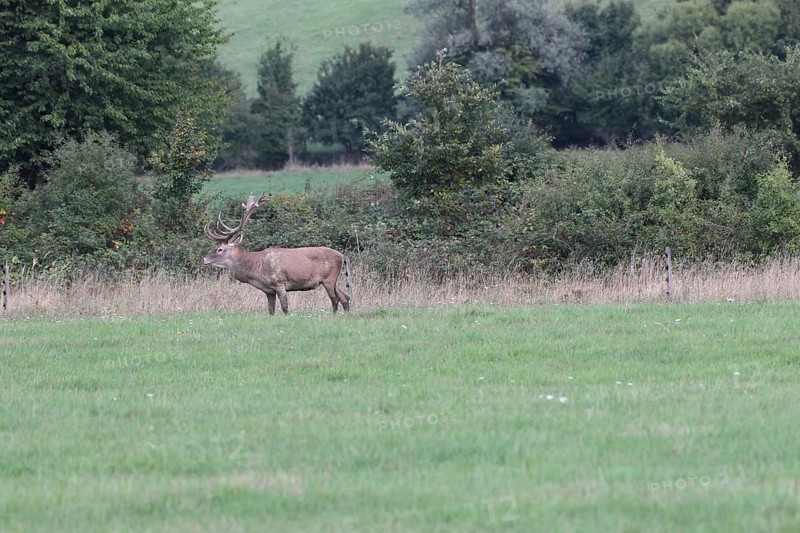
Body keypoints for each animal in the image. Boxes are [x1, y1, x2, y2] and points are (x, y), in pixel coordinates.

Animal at [203, 193, 352, 315]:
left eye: (220, 249)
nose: (204, 259)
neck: (256, 270)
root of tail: (342, 256)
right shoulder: (269, 291)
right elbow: (271, 310)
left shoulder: (279, 282)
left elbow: (285, 308)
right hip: (332, 280)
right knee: (345, 297)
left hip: (329, 278)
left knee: (335, 299)